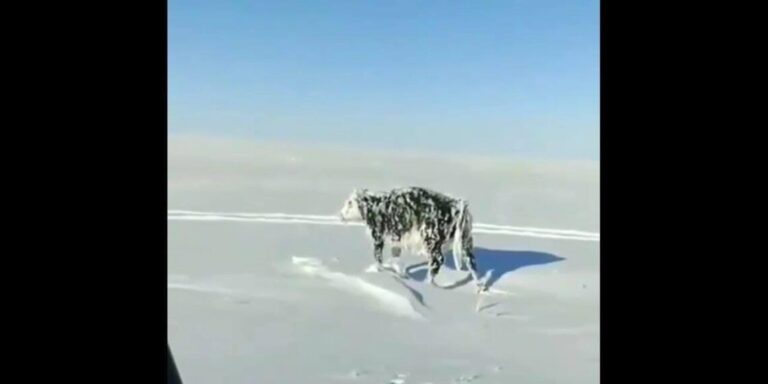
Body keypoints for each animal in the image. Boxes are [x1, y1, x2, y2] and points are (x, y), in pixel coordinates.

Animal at [340, 187, 484, 292]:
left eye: (350, 203)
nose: (340, 215)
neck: (376, 205)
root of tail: (457, 205)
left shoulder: (378, 237)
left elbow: (378, 258)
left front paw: (378, 271)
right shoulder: (396, 240)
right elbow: (396, 259)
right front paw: (401, 275)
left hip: (432, 241)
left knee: (437, 262)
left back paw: (427, 284)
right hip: (466, 241)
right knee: (472, 263)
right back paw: (479, 287)